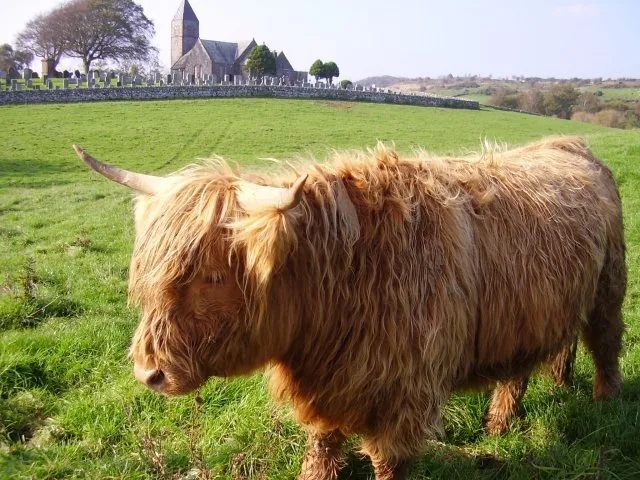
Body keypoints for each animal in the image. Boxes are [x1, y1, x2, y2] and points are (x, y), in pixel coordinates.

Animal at [73, 137, 625, 480]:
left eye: (212, 275)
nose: (149, 373)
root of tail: (567, 144)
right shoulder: (330, 388)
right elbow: (321, 451)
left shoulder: (405, 398)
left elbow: (387, 464)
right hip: (530, 311)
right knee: (528, 365)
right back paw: (504, 423)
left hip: (608, 288)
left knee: (605, 345)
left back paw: (606, 406)